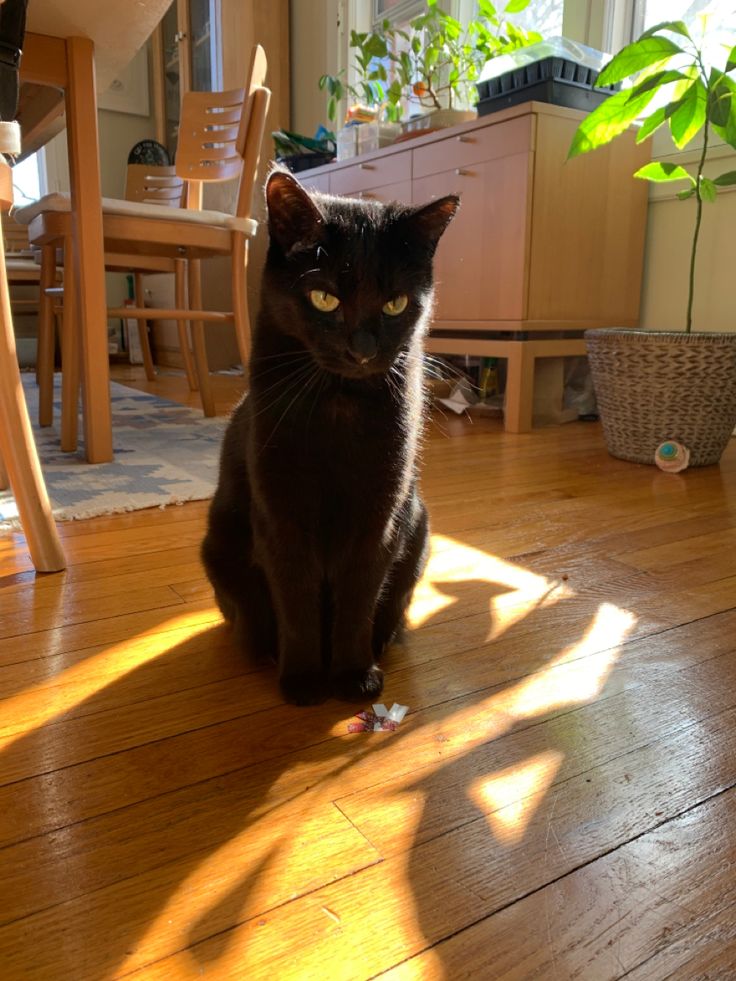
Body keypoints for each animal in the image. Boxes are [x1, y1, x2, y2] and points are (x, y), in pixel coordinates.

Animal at [198, 170, 458, 704]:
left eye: (395, 303)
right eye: (325, 298)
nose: (362, 349)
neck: (338, 403)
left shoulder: (379, 519)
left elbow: (357, 601)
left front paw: (354, 673)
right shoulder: (281, 518)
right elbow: (296, 604)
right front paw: (301, 680)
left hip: (418, 532)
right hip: (220, 548)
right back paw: (268, 651)